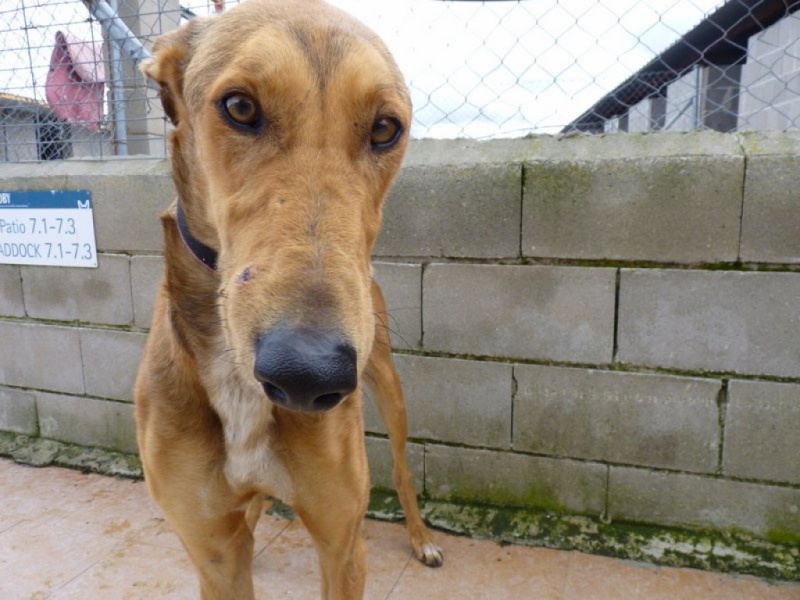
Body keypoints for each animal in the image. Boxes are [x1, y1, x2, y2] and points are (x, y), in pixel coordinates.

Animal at [134, 0, 440, 596]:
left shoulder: (343, 545)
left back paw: (421, 539)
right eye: (240, 106)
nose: (307, 376)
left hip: (387, 384)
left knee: (400, 466)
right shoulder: (212, 552)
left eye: (385, 127)